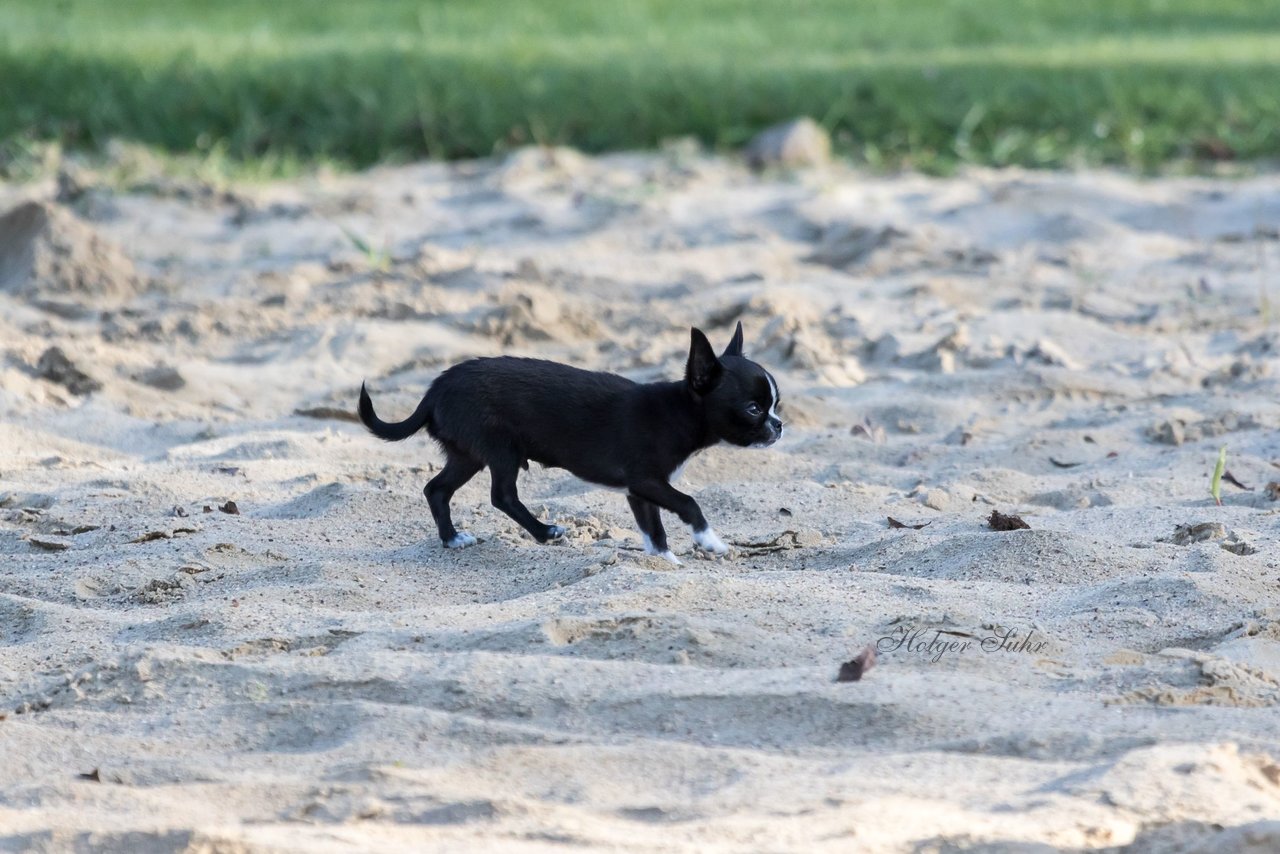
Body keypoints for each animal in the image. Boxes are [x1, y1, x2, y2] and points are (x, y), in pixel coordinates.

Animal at [355, 323, 783, 563]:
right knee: (501, 496)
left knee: (437, 489)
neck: (678, 411)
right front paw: (710, 542)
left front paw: (664, 561)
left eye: (775, 404)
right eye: (753, 409)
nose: (779, 426)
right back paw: (544, 532)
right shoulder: (647, 481)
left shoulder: (639, 492)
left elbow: (653, 529)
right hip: (501, 450)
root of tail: (434, 390)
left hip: (467, 454)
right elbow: (689, 503)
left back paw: (452, 539)